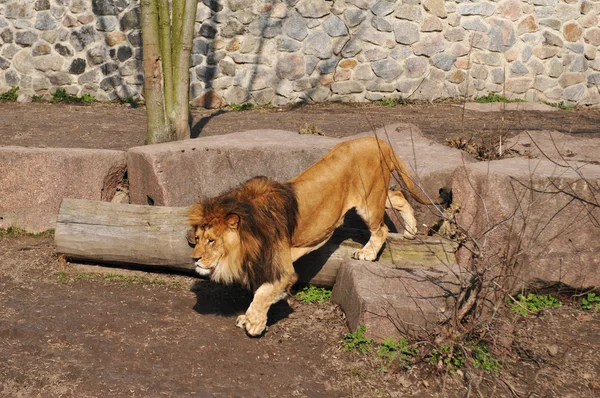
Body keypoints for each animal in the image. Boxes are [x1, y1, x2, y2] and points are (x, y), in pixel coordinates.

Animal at [188, 137, 446, 336]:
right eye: (198, 239)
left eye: (212, 240)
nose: (194, 259)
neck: (249, 237)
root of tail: (378, 140)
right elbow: (261, 290)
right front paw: (253, 315)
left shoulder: (283, 268)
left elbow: (263, 293)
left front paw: (253, 323)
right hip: (377, 195)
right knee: (399, 195)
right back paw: (410, 231)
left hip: (369, 201)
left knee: (381, 228)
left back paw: (367, 253)